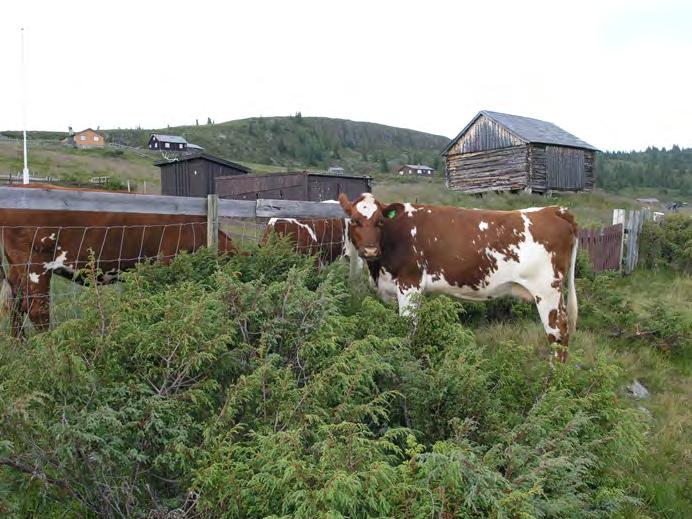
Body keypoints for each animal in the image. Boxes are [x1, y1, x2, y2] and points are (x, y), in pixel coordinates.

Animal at [0, 185, 238, 336]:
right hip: (34, 264)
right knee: (36, 309)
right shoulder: (168, 264)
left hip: (16, 267)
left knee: (15, 304)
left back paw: (20, 345)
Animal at [336, 192, 580, 362]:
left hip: (547, 291)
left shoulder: (409, 283)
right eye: (355, 220)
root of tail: (554, 210)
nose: (370, 250)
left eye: (380, 221)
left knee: (558, 334)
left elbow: (408, 328)